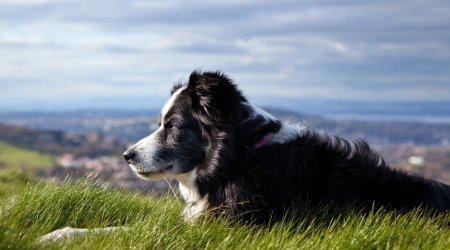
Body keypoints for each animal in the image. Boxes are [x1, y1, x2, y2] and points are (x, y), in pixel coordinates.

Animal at [39, 70, 450, 240]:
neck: (239, 158)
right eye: (160, 123)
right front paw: (59, 231)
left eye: (172, 125)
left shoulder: (224, 225)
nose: (126, 155)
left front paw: (58, 236)